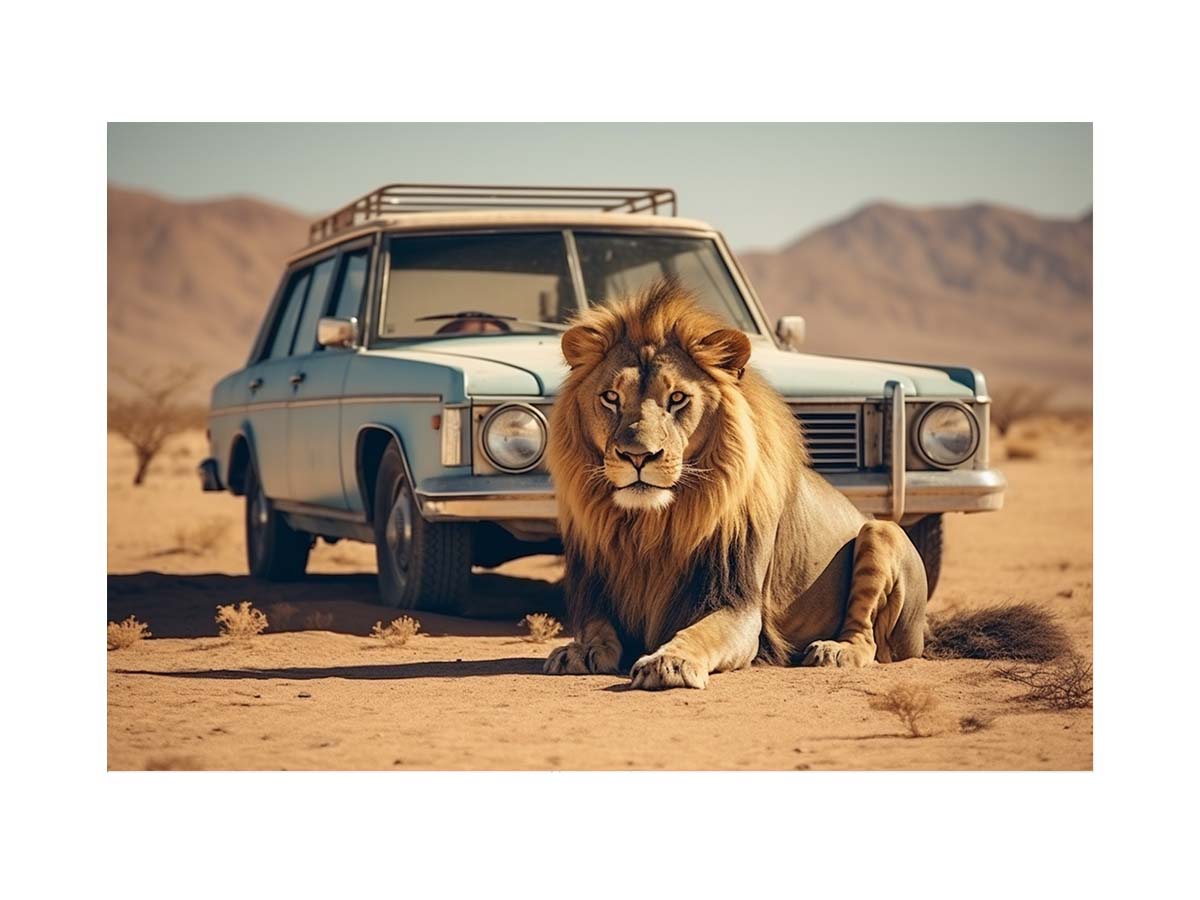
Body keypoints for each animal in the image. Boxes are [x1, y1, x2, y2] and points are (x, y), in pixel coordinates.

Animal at [543, 277, 929, 690]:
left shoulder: (738, 605)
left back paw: (833, 651)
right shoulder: (596, 596)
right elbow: (595, 629)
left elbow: (700, 633)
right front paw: (578, 650)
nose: (638, 456)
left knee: (867, 637)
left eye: (677, 398)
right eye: (611, 397)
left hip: (880, 532)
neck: (651, 526)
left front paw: (669, 661)